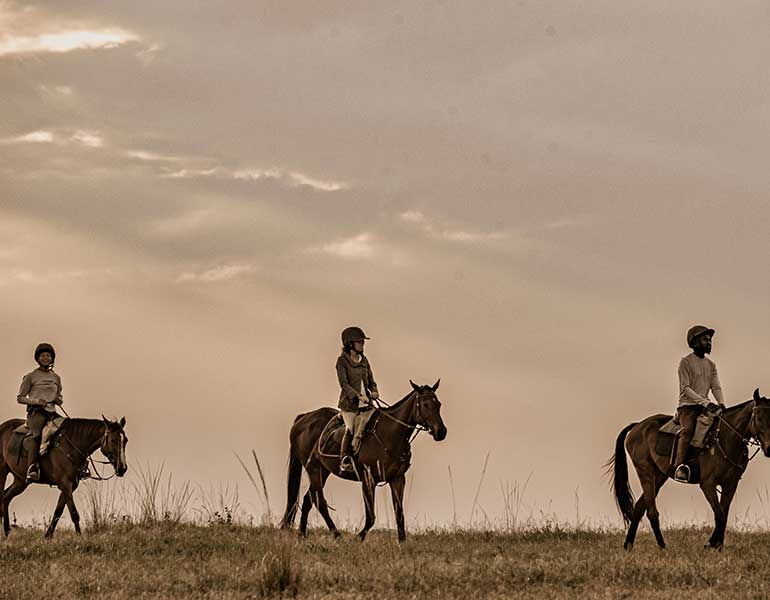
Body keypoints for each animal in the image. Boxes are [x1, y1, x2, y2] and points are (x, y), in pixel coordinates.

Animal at [278, 380, 444, 544]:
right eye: (425, 404)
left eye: (438, 404)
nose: (441, 432)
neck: (390, 434)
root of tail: (303, 418)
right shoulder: (368, 480)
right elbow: (371, 517)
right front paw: (358, 539)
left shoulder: (397, 479)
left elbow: (399, 514)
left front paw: (402, 543)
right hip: (314, 470)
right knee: (320, 502)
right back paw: (337, 536)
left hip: (322, 471)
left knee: (309, 500)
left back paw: (302, 535)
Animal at [608, 392, 770, 552]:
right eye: (758, 418)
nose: (769, 449)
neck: (725, 438)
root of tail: (637, 426)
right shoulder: (708, 484)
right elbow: (720, 515)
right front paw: (710, 545)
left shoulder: (730, 485)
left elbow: (724, 514)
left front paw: (717, 546)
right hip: (645, 472)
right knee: (651, 512)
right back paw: (663, 547)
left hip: (659, 476)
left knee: (639, 508)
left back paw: (628, 545)